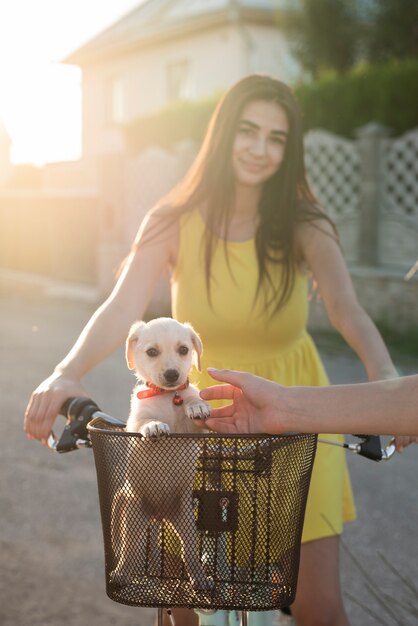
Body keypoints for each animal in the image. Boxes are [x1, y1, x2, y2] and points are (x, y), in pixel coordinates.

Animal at [110, 316, 212, 588]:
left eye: (184, 350)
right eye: (152, 352)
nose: (172, 374)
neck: (169, 397)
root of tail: (159, 514)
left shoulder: (195, 433)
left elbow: (193, 404)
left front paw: (197, 405)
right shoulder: (135, 426)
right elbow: (146, 422)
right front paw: (155, 425)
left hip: (186, 523)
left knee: (189, 553)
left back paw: (201, 579)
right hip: (134, 519)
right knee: (129, 552)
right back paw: (120, 574)